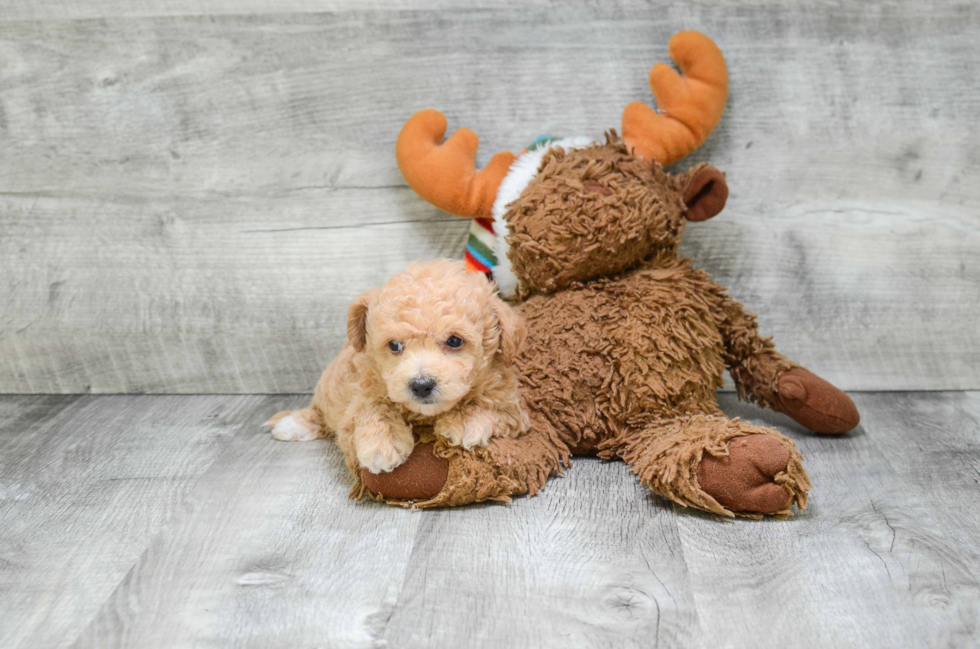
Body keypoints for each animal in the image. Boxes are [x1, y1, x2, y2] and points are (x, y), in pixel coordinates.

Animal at [262, 260, 528, 476]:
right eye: (394, 345)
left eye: (454, 341)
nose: (421, 385)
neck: (424, 415)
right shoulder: (359, 397)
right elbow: (374, 408)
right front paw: (382, 445)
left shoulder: (513, 408)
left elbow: (490, 406)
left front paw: (464, 421)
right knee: (319, 412)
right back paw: (292, 424)